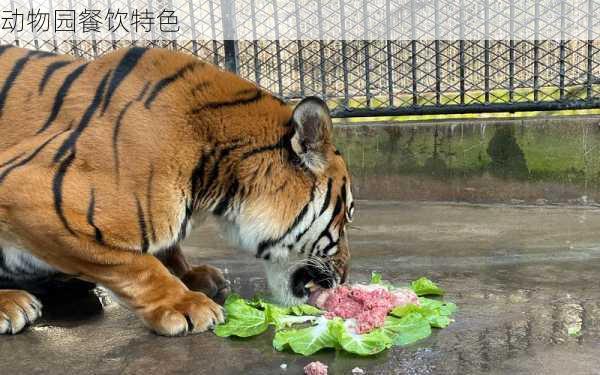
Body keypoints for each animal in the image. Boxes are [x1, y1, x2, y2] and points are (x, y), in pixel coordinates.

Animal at [0, 46, 352, 338]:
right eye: (346, 217)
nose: (346, 277)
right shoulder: (27, 190)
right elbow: (136, 265)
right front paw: (184, 305)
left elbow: (164, 249)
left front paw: (194, 275)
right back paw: (13, 305)